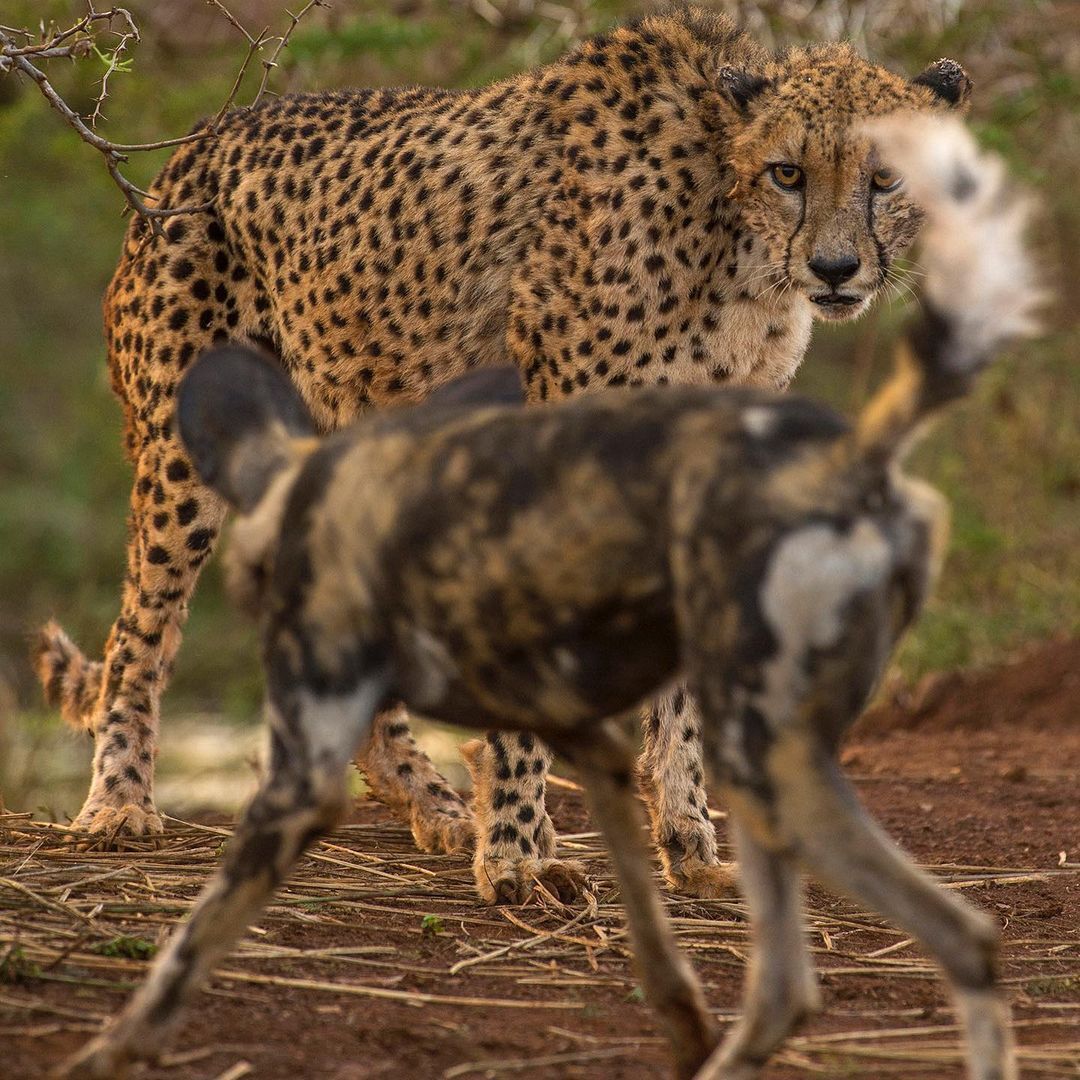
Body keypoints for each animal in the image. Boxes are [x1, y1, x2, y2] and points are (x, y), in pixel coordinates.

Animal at [38, 6, 976, 902]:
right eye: (789, 174)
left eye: (885, 178)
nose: (837, 267)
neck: (733, 237)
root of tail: (199, 139)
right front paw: (519, 855)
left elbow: (680, 690)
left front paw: (690, 848)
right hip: (181, 451)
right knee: (139, 634)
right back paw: (118, 804)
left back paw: (434, 805)